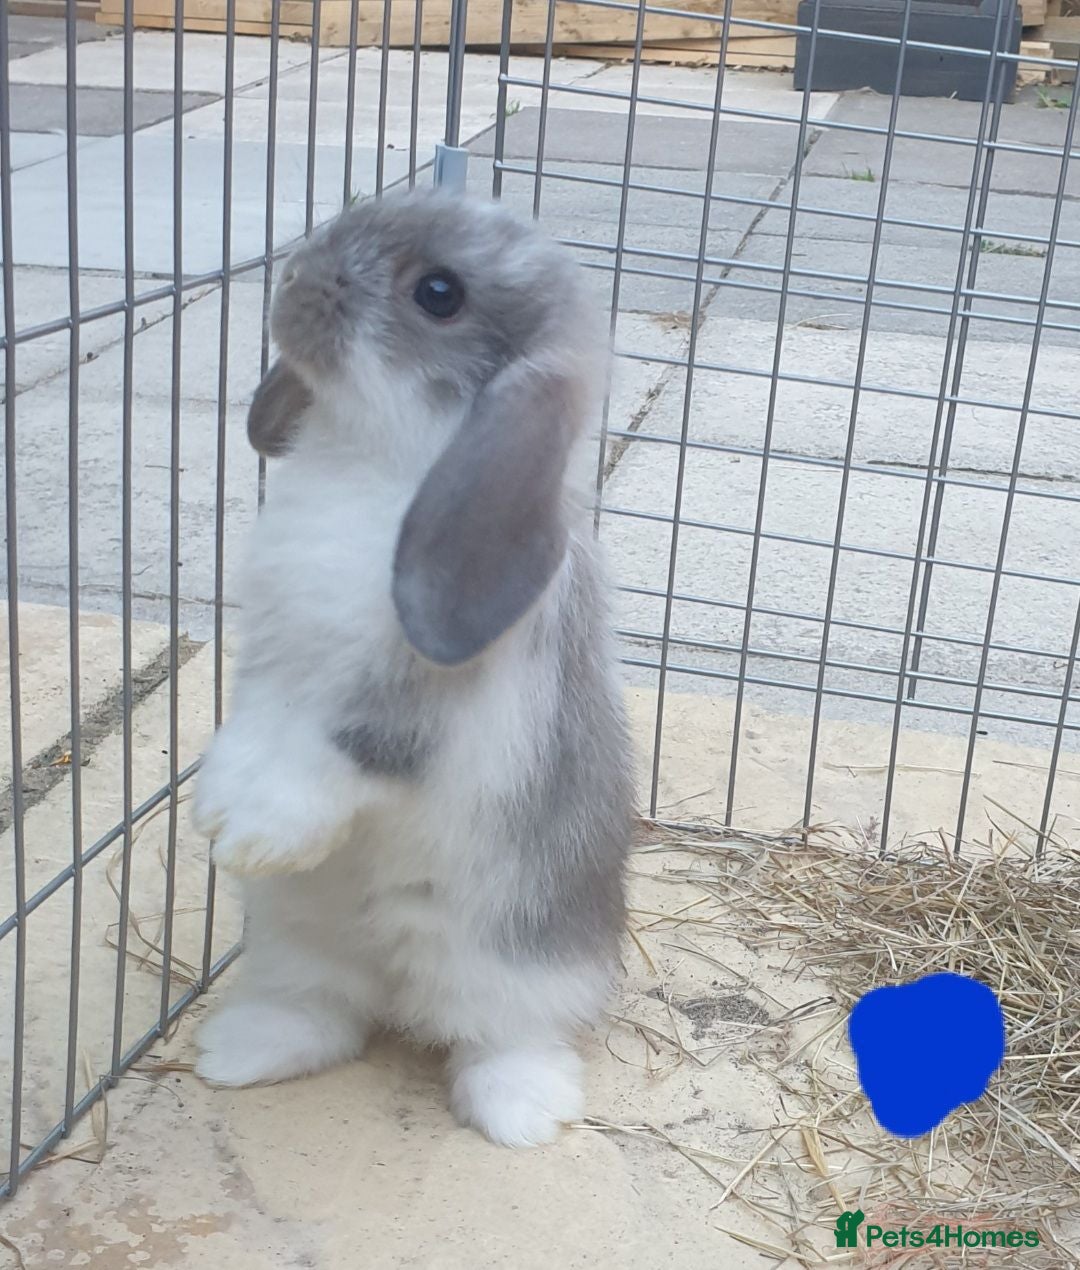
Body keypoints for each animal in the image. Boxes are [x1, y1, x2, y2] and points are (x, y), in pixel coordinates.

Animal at [190, 188, 635, 1147]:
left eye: (439, 293)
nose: (294, 275)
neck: (376, 463)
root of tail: (398, 985)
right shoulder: (270, 660)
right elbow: (255, 729)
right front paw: (216, 807)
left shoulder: (414, 708)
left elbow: (337, 750)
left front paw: (253, 833)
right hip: (292, 935)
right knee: (325, 1014)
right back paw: (236, 1055)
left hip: (507, 961)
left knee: (500, 1036)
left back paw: (522, 1114)